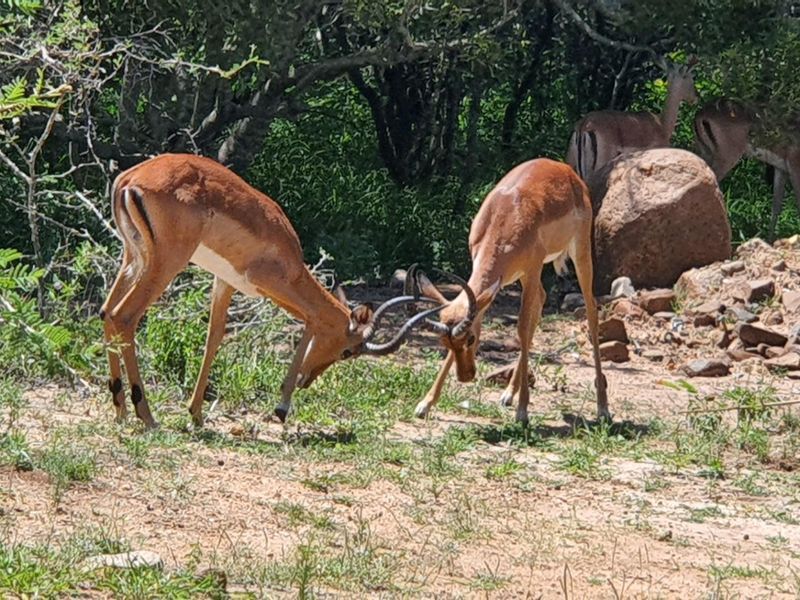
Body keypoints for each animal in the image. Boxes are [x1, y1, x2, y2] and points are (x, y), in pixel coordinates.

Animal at [100, 153, 446, 429]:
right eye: (348, 351)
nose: (307, 380)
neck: (287, 252)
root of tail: (130, 179)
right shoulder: (270, 283)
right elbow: (312, 317)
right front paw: (281, 409)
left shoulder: (225, 281)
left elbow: (214, 338)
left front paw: (196, 414)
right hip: (166, 263)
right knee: (124, 316)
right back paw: (146, 416)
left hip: (134, 259)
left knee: (106, 313)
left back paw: (120, 410)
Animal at [407, 158, 609, 425]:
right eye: (445, 342)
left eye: (470, 339)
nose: (466, 376)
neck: (505, 217)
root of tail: (566, 170)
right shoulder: (492, 287)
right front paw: (424, 404)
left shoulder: (532, 268)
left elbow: (521, 327)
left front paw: (523, 412)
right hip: (522, 277)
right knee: (541, 302)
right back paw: (508, 394)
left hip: (579, 253)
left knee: (590, 310)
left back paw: (603, 409)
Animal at [694, 98, 800, 240]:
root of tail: (700, 114)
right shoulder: (794, 165)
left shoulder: (781, 168)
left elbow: (776, 206)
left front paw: (770, 240)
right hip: (727, 157)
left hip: (705, 153)